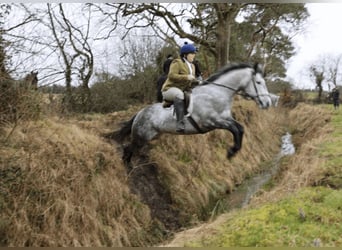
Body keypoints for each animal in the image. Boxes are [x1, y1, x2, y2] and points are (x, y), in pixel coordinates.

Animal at [116, 63, 272, 163]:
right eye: (258, 82)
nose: (267, 103)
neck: (217, 93)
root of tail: (139, 113)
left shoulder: (226, 118)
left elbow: (240, 128)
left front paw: (234, 151)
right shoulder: (213, 122)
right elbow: (235, 129)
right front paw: (231, 152)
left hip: (150, 136)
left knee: (130, 150)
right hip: (141, 137)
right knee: (128, 150)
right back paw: (128, 170)